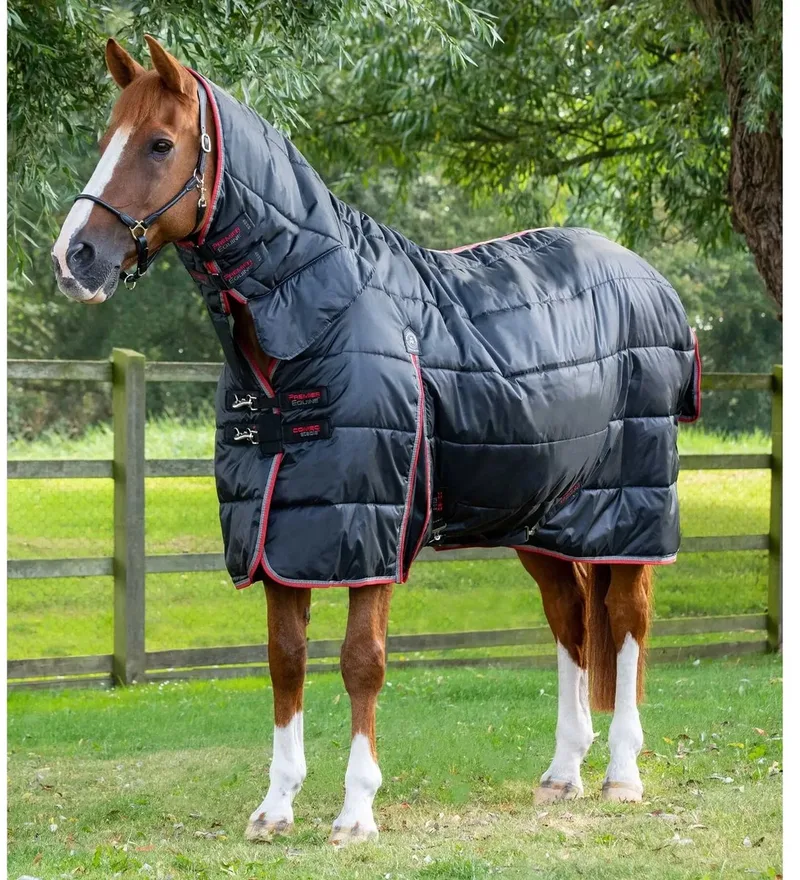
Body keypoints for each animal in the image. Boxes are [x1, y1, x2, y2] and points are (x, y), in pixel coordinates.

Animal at [52, 36, 699, 846]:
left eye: (160, 144)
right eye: (106, 139)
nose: (73, 258)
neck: (318, 318)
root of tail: (653, 283)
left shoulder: (370, 530)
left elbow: (362, 661)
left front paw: (356, 811)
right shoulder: (280, 534)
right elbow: (285, 660)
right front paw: (276, 807)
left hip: (632, 513)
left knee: (627, 626)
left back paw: (621, 774)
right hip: (544, 519)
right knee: (571, 623)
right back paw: (562, 773)